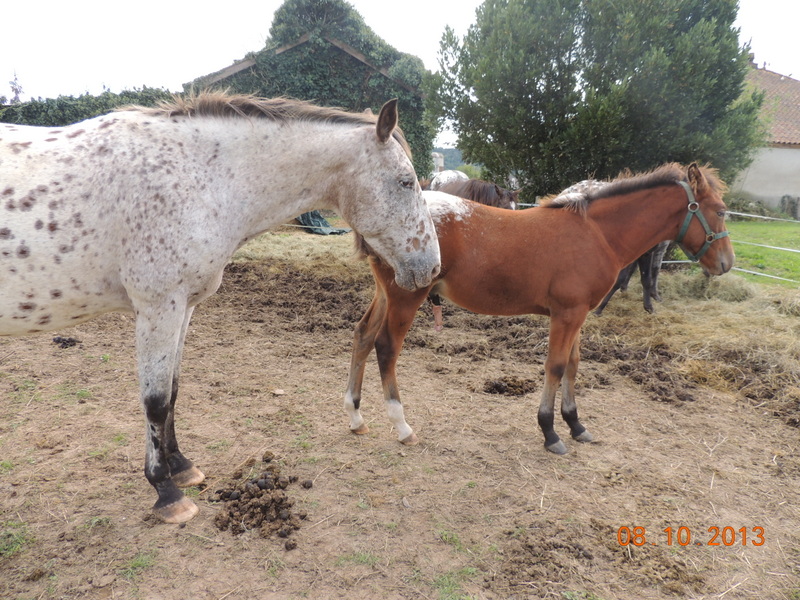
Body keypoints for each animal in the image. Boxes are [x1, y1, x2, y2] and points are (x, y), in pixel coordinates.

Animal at [0, 91, 440, 524]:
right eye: (406, 182)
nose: (432, 267)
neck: (197, 179)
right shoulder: (158, 308)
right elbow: (155, 401)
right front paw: (166, 492)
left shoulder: (184, 308)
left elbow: (173, 390)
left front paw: (181, 466)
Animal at [342, 162, 732, 452]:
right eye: (721, 211)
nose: (726, 263)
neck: (597, 234)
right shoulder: (567, 314)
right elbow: (556, 366)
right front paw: (550, 431)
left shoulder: (578, 314)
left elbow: (574, 364)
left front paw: (576, 424)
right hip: (407, 296)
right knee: (386, 347)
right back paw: (402, 426)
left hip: (386, 293)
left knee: (362, 335)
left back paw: (355, 417)